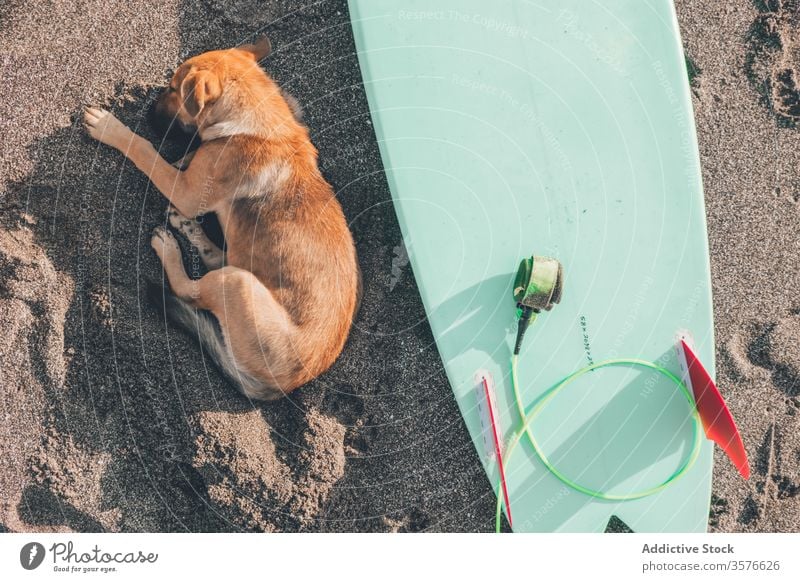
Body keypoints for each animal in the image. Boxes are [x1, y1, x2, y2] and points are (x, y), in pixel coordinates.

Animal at [82, 36, 360, 402]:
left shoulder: (184, 189)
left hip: (238, 283)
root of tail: (282, 386)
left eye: (173, 88)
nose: (148, 111)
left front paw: (111, 128)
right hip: (238, 269)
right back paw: (189, 230)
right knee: (215, 259)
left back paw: (170, 248)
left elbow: (147, 152)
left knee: (189, 291)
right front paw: (184, 156)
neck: (253, 120)